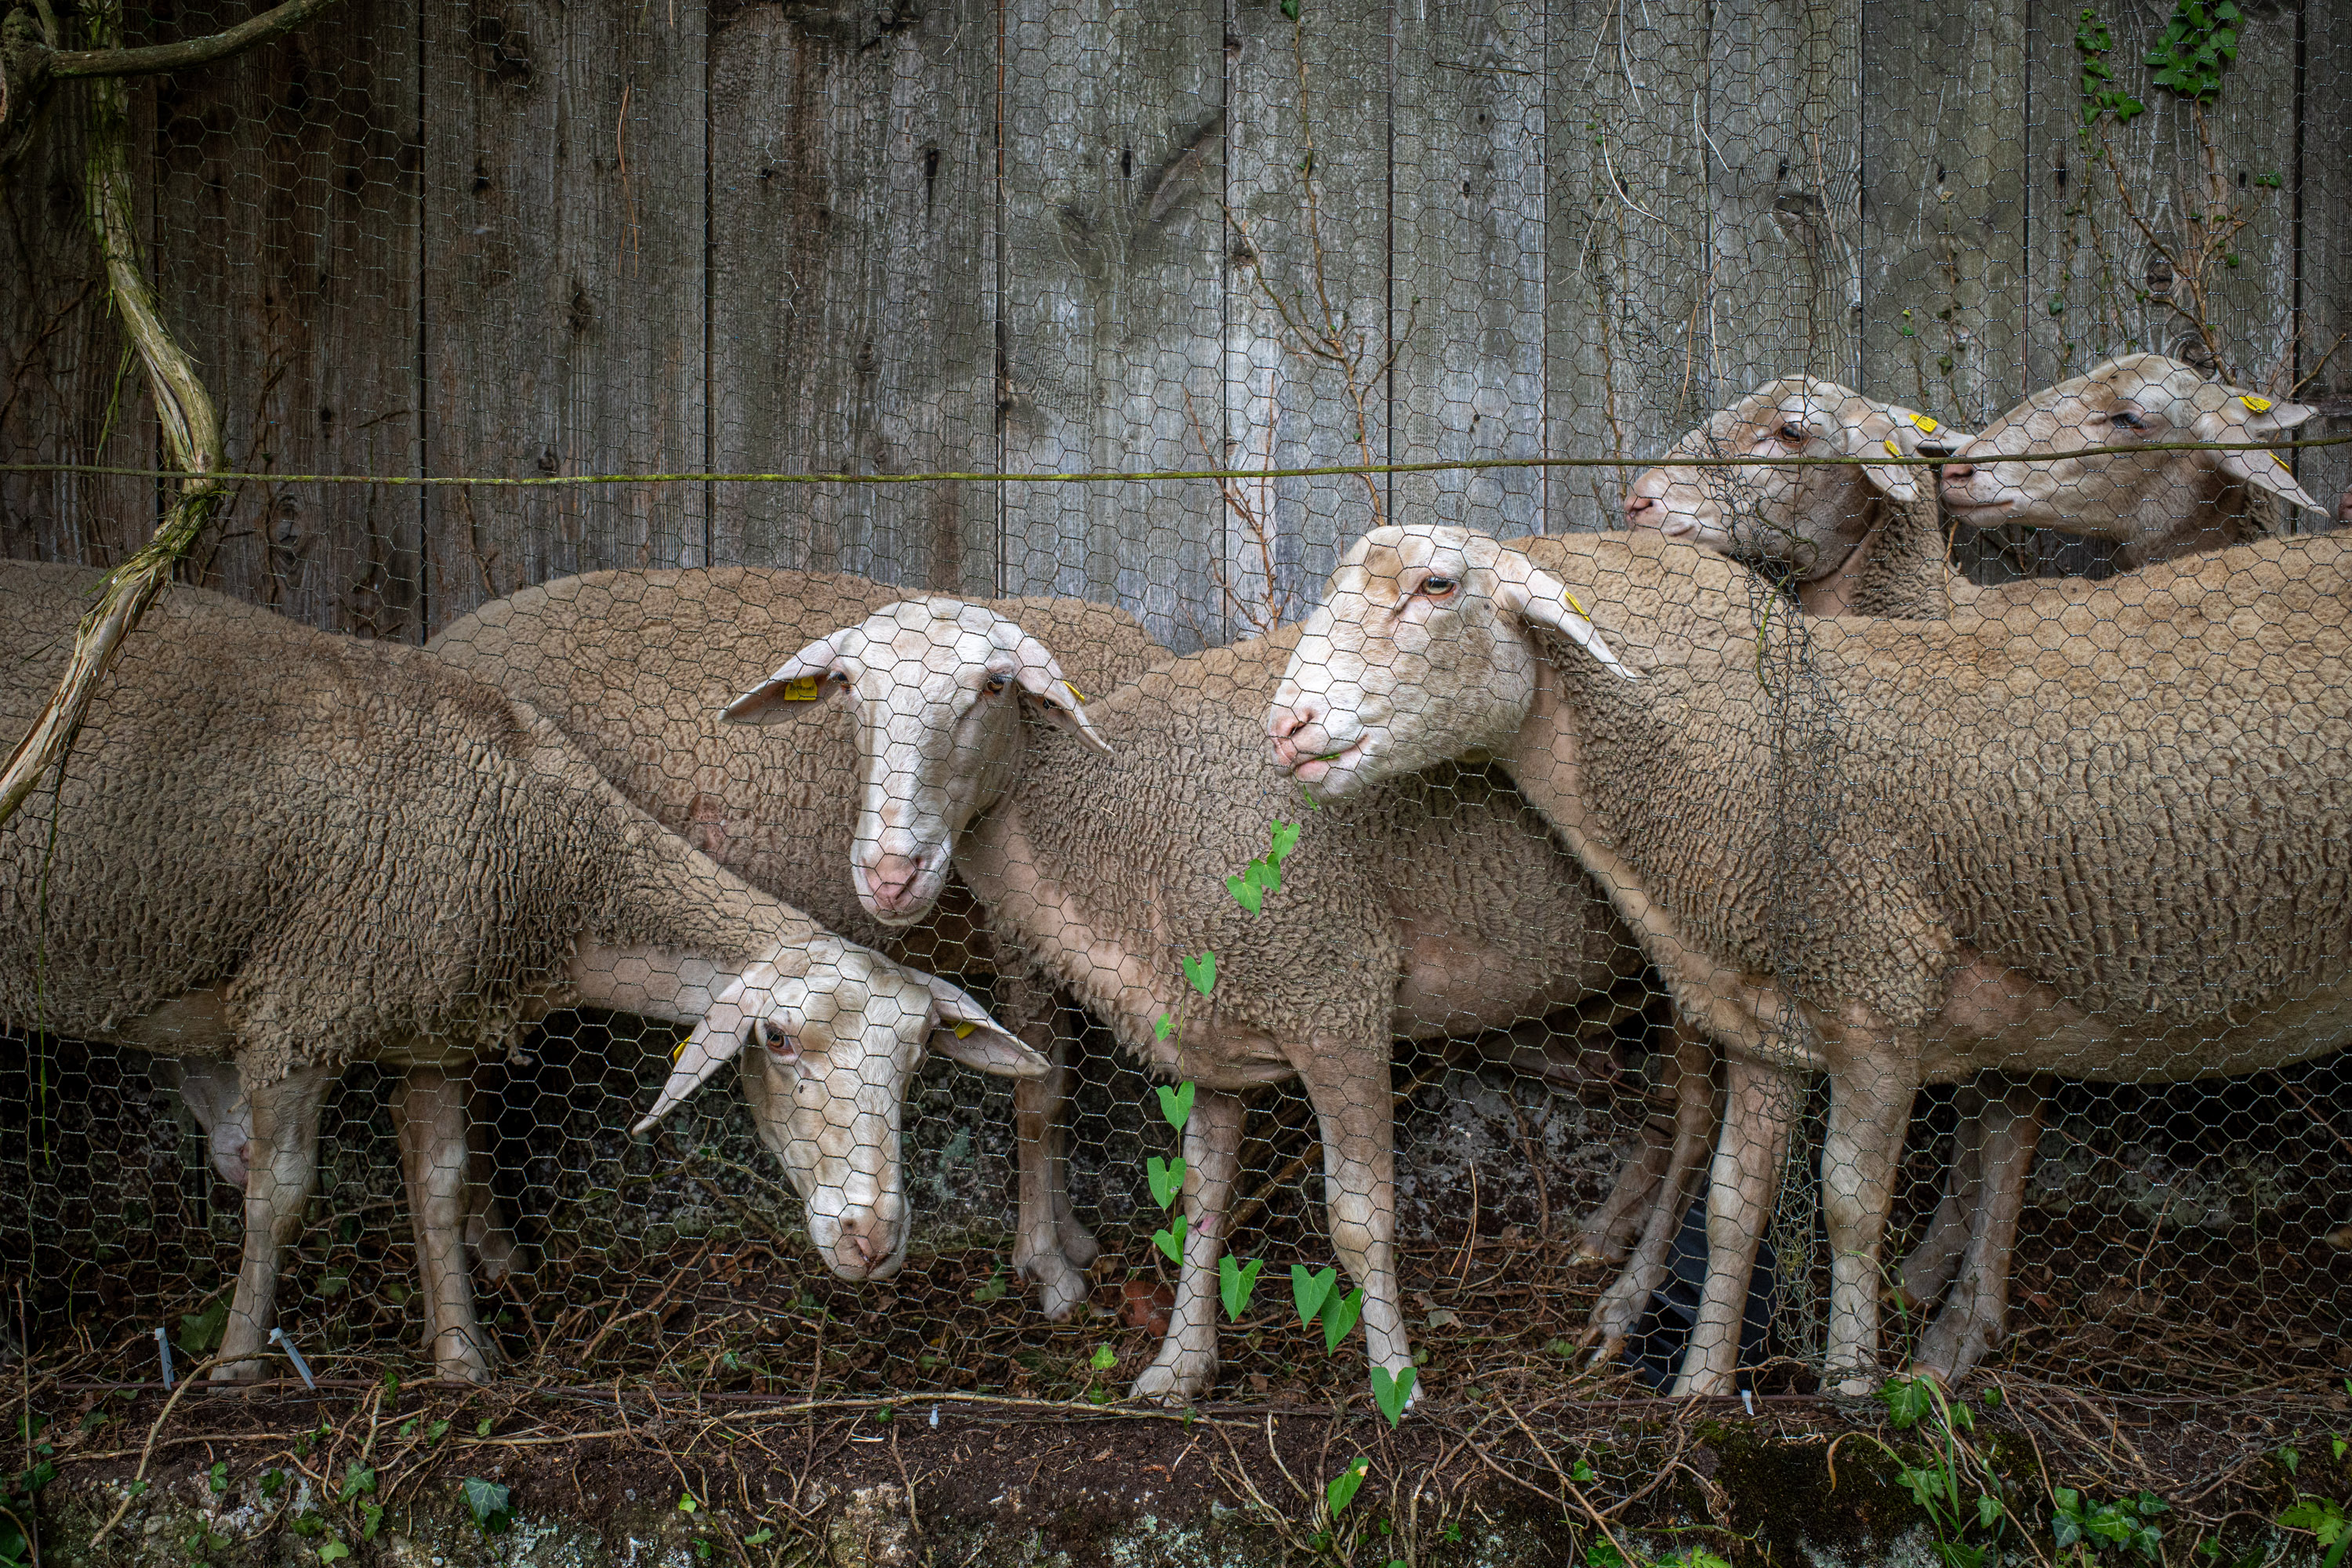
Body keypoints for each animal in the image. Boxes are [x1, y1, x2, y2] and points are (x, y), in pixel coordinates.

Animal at [0, 559, 1037, 1382]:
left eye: (918, 1060)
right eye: (777, 1040)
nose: (873, 1240)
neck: (564, 868)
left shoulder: (430, 1022)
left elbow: (441, 1183)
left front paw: (463, 1359)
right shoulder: (301, 1003)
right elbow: (281, 1196)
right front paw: (237, 1366)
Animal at [428, 569, 1160, 1321]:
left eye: (995, 686)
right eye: (846, 685)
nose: (889, 876)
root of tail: (446, 639)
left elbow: (1060, 1084)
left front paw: (1070, 1234)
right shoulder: (1018, 942)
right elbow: (1039, 1097)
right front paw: (1047, 1264)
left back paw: (491, 1245)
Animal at [683, 601, 1658, 1404]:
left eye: (992, 686)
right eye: (849, 689)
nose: (891, 873)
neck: (1119, 815)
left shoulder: (1336, 991)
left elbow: (1358, 1218)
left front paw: (1398, 1386)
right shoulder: (1210, 1035)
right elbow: (1203, 1198)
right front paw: (1180, 1366)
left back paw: (1628, 1304)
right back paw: (1609, 1251)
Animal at [1267, 523, 2352, 1396]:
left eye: (1438, 587)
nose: (1285, 727)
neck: (1746, 746)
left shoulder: (1877, 992)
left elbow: (1848, 1204)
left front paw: (1849, 1386)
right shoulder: (1766, 1018)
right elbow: (1735, 1202)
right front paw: (1701, 1389)